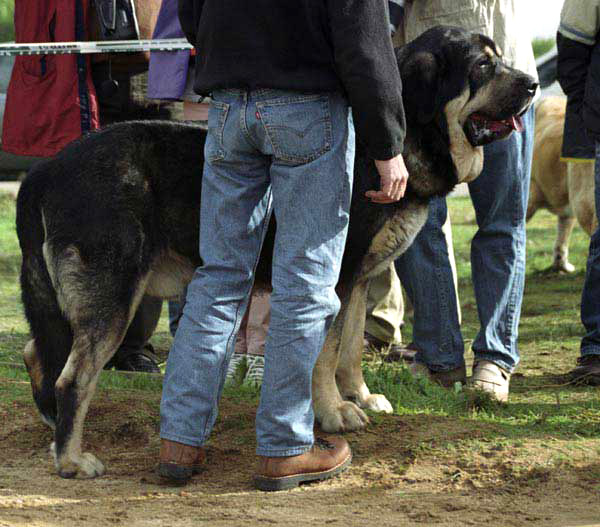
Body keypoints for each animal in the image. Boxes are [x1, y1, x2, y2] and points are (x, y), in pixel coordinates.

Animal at [16, 26, 536, 480]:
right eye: (483, 66)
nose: (532, 84)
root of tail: (44, 171)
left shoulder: (361, 279)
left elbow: (351, 348)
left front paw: (361, 397)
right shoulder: (336, 276)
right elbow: (326, 354)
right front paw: (333, 412)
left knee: (35, 350)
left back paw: (53, 427)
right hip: (115, 296)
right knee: (73, 378)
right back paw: (71, 459)